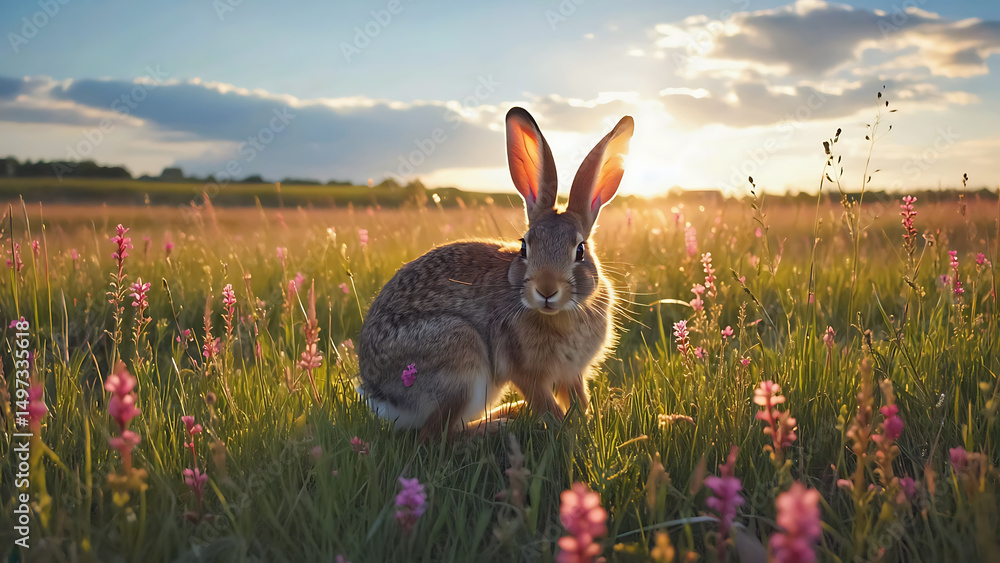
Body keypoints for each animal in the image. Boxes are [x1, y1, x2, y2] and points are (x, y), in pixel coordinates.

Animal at [358, 106, 634, 439]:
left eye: (580, 250)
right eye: (524, 247)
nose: (546, 290)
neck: (562, 313)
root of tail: (380, 396)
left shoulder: (573, 372)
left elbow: (578, 400)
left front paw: (586, 426)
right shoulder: (524, 371)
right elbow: (547, 404)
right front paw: (568, 433)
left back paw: (510, 414)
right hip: (460, 356)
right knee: (436, 436)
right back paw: (501, 425)